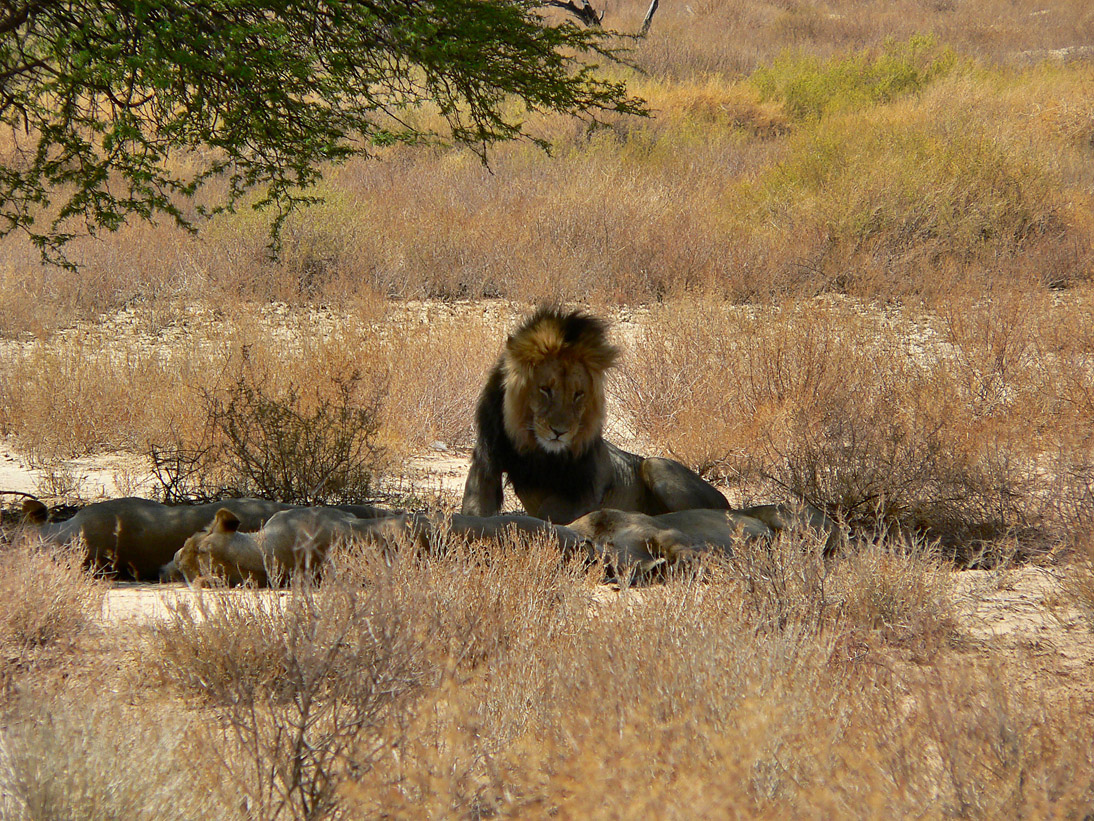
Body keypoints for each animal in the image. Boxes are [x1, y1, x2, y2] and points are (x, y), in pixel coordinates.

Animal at [457, 306, 730, 523]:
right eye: (545, 389)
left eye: (578, 394)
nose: (559, 432)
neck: (534, 449)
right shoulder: (485, 464)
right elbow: (473, 512)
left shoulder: (586, 487)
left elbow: (550, 514)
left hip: (656, 464)